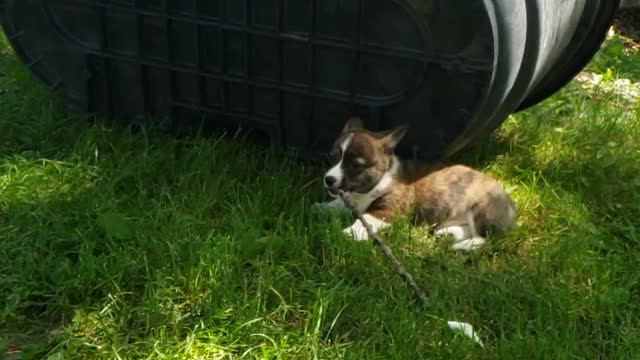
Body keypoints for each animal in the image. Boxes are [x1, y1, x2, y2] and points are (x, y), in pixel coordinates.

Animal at [318, 116, 516, 250]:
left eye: (356, 166)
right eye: (332, 157)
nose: (328, 179)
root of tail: (512, 206)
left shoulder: (387, 211)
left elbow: (365, 220)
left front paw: (348, 234)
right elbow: (335, 205)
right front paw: (319, 208)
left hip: (482, 209)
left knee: (486, 237)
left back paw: (464, 246)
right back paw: (449, 234)